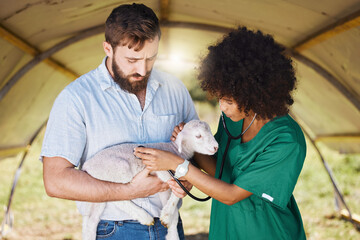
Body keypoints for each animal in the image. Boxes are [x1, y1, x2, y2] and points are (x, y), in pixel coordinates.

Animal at [76, 120, 218, 240]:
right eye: (198, 136)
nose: (216, 147)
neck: (175, 151)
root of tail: (87, 166)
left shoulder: (163, 188)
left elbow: (174, 210)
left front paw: (170, 230)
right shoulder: (163, 172)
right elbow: (175, 196)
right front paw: (166, 216)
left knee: (91, 219)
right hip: (120, 170)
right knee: (117, 198)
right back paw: (144, 217)